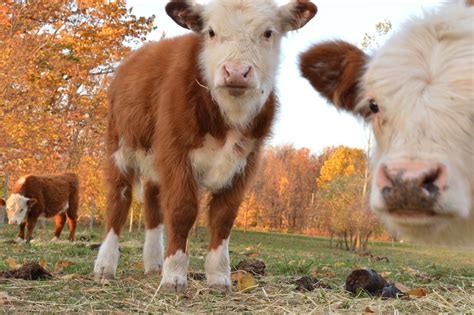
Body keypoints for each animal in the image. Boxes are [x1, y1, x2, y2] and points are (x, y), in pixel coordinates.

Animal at [94, 0, 316, 294]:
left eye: (268, 32)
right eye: (211, 32)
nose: (236, 72)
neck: (227, 118)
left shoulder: (245, 162)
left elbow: (223, 217)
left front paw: (219, 277)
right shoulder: (176, 154)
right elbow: (182, 211)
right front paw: (174, 276)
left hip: (153, 163)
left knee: (152, 208)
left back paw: (153, 263)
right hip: (119, 148)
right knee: (118, 202)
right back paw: (105, 265)